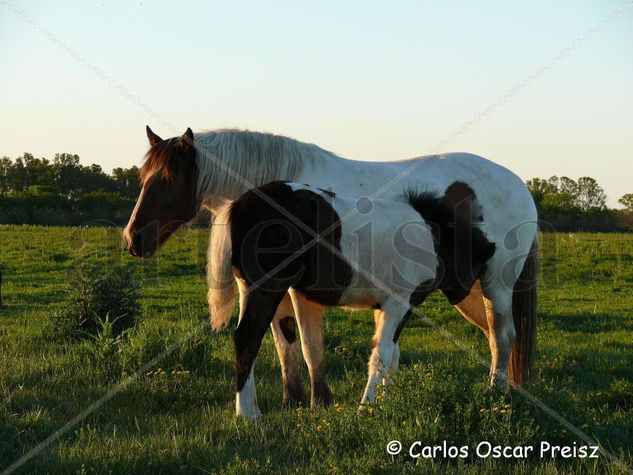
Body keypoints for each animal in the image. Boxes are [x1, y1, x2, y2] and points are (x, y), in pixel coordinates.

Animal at [206, 180, 494, 418]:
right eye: (480, 270)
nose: (466, 296)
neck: (427, 236)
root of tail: (237, 206)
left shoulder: (389, 306)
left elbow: (392, 356)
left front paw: (388, 401)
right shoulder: (399, 302)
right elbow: (382, 354)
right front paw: (368, 408)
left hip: (250, 288)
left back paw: (252, 409)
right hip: (266, 288)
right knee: (246, 339)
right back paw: (248, 416)